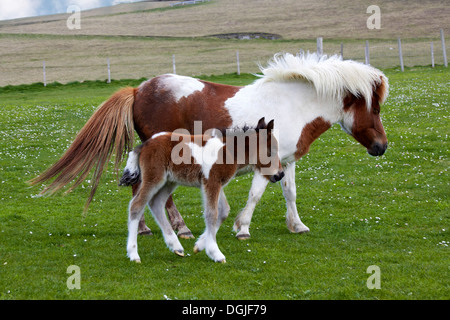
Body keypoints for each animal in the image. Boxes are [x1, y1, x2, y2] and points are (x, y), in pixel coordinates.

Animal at [29, 53, 388, 240]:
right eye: (376, 108)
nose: (382, 147)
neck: (291, 104)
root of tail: (139, 89)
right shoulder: (265, 164)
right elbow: (256, 194)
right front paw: (242, 227)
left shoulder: (287, 160)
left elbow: (290, 193)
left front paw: (296, 225)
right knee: (155, 194)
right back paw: (178, 229)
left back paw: (146, 227)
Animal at [119, 117, 282, 262]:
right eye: (272, 151)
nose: (280, 174)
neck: (229, 151)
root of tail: (145, 144)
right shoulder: (211, 182)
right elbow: (211, 214)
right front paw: (215, 252)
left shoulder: (216, 183)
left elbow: (223, 211)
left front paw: (199, 245)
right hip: (154, 179)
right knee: (136, 205)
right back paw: (133, 254)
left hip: (169, 181)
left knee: (156, 203)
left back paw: (175, 246)